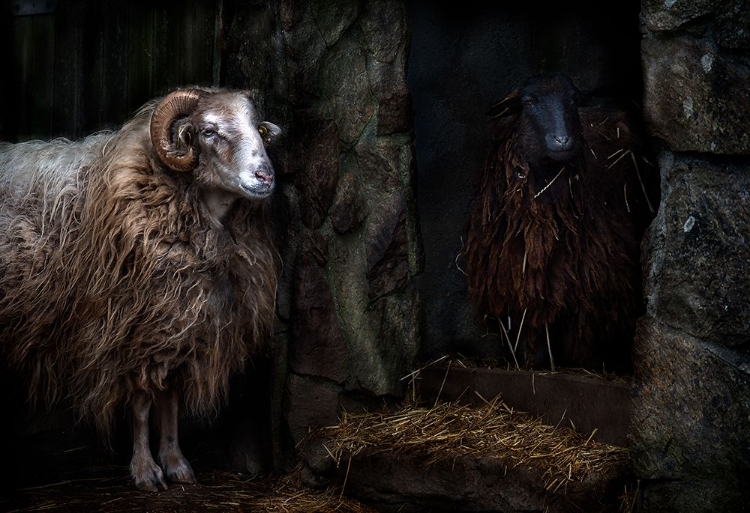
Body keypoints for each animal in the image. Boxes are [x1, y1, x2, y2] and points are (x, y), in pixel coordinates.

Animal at [0, 87, 282, 488]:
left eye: (258, 129)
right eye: (208, 131)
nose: (265, 176)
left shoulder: (180, 325)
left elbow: (170, 400)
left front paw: (176, 462)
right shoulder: (132, 331)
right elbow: (141, 405)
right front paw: (146, 469)